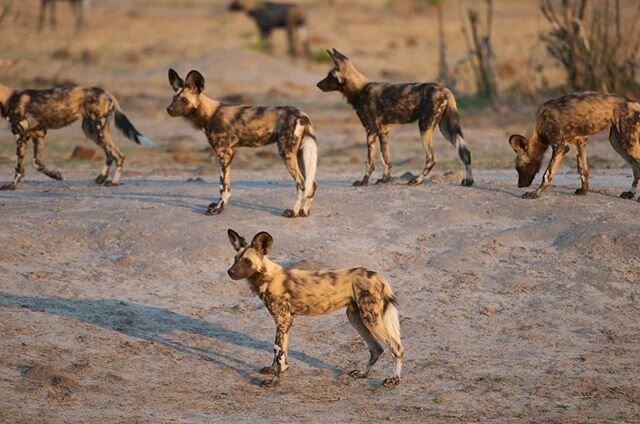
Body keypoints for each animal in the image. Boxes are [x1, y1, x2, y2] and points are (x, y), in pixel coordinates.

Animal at [0, 81, 154, 190]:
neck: (8, 99)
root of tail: (105, 92)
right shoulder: (39, 134)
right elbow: (37, 164)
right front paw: (56, 175)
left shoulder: (21, 136)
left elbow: (19, 167)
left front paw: (11, 186)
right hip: (91, 131)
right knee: (110, 154)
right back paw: (101, 178)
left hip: (97, 130)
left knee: (119, 155)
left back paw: (114, 182)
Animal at [164, 68, 316, 219]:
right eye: (173, 98)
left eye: (184, 100)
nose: (169, 109)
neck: (209, 114)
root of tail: (302, 114)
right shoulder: (227, 154)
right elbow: (225, 186)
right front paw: (217, 206)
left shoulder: (225, 154)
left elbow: (223, 187)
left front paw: (218, 209)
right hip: (299, 154)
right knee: (311, 184)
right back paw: (304, 212)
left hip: (286, 154)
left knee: (302, 184)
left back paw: (294, 212)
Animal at [228, 229, 402, 388]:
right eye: (235, 259)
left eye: (247, 262)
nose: (230, 272)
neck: (268, 277)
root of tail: (376, 275)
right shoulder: (286, 321)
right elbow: (282, 351)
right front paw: (276, 370)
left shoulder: (282, 320)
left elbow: (278, 351)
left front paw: (274, 381)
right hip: (355, 317)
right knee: (376, 349)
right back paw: (362, 373)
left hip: (370, 318)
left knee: (397, 348)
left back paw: (394, 380)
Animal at [318, 47, 472, 187]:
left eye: (329, 76)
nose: (317, 84)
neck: (359, 90)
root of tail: (445, 90)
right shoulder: (383, 130)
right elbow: (386, 158)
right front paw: (384, 180)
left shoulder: (370, 130)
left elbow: (370, 162)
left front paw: (363, 182)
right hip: (446, 129)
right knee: (465, 153)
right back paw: (468, 181)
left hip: (424, 128)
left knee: (431, 158)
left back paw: (417, 181)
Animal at [512, 90, 640, 199]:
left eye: (519, 168)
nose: (520, 185)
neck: (538, 127)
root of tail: (635, 103)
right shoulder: (579, 141)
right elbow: (582, 169)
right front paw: (584, 191)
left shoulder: (561, 147)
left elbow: (547, 174)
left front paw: (535, 194)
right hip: (617, 143)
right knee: (636, 169)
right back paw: (630, 193)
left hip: (628, 144)